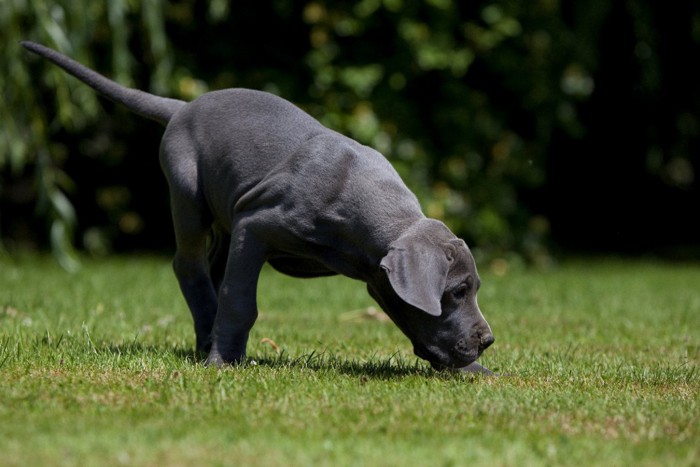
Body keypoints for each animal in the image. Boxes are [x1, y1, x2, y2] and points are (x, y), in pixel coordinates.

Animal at [24, 41, 494, 376]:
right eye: (455, 291)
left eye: (472, 289)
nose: (487, 340)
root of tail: (184, 105)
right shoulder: (257, 225)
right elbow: (240, 299)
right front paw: (225, 361)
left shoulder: (375, 277)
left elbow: (417, 319)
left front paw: (473, 370)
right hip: (188, 196)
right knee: (189, 264)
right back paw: (210, 341)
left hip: (224, 221)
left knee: (212, 271)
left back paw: (206, 336)